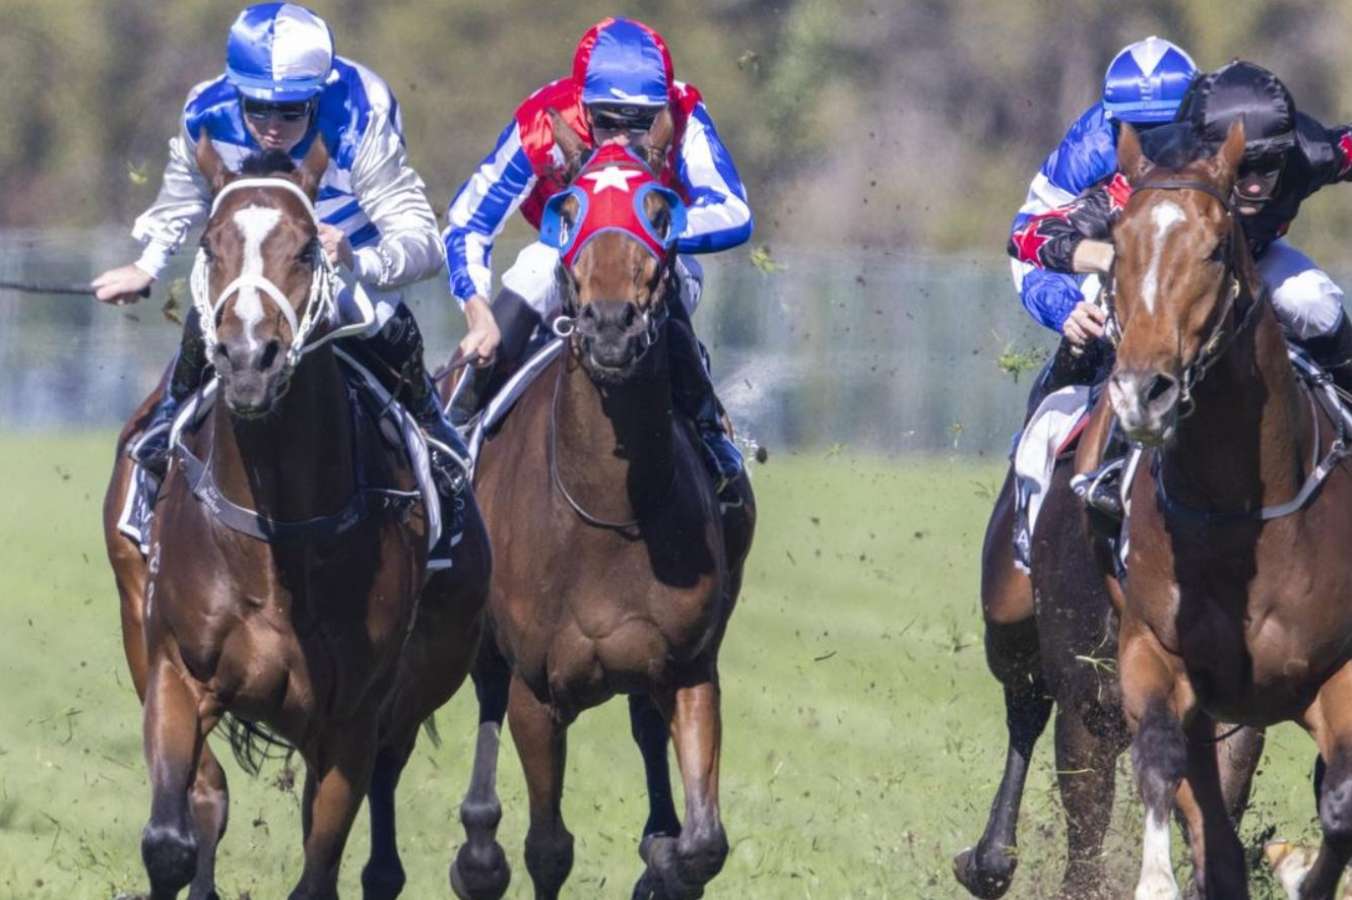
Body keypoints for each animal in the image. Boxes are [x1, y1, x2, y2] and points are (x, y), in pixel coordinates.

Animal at [101, 135, 490, 900]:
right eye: (210, 243)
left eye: (308, 248)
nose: (250, 357)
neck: (277, 532)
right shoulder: (175, 669)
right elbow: (171, 838)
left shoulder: (350, 716)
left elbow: (319, 866)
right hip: (135, 615)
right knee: (209, 797)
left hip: (426, 671)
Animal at [444, 109, 756, 900]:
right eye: (569, 206)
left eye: (660, 209)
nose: (611, 325)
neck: (606, 508)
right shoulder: (537, 691)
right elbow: (548, 847)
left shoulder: (689, 669)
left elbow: (702, 845)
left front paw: (663, 861)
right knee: (486, 702)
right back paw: (478, 850)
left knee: (645, 732)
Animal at [1106, 119, 1352, 900]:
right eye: (1117, 246)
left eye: (1215, 249)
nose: (1141, 392)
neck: (1237, 514)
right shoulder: (1152, 648)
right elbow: (1160, 762)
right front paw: (1158, 883)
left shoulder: (1338, 678)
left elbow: (1342, 802)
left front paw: (1301, 871)